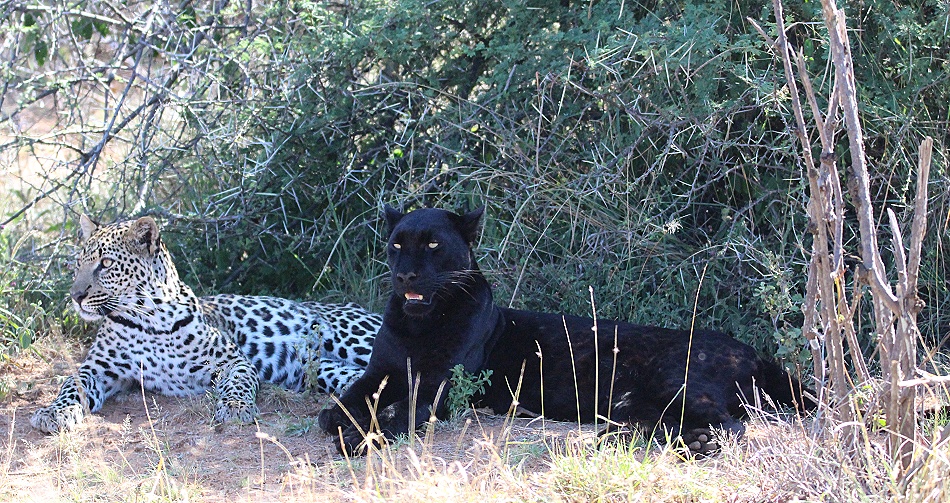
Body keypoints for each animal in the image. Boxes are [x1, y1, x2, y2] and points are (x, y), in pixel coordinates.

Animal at [31, 215, 381, 434]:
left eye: (105, 264)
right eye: (78, 264)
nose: (75, 296)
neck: (146, 318)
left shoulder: (233, 361)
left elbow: (239, 383)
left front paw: (236, 409)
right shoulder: (98, 369)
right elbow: (70, 386)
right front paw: (54, 413)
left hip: (352, 337)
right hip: (326, 372)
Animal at [318, 205, 813, 456]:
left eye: (433, 244)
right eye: (396, 244)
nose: (405, 275)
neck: (419, 325)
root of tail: (754, 352)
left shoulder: (440, 382)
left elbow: (402, 412)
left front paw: (361, 438)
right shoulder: (382, 370)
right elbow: (340, 405)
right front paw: (342, 421)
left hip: (676, 381)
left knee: (730, 426)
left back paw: (693, 443)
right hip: (632, 400)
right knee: (659, 424)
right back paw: (618, 439)